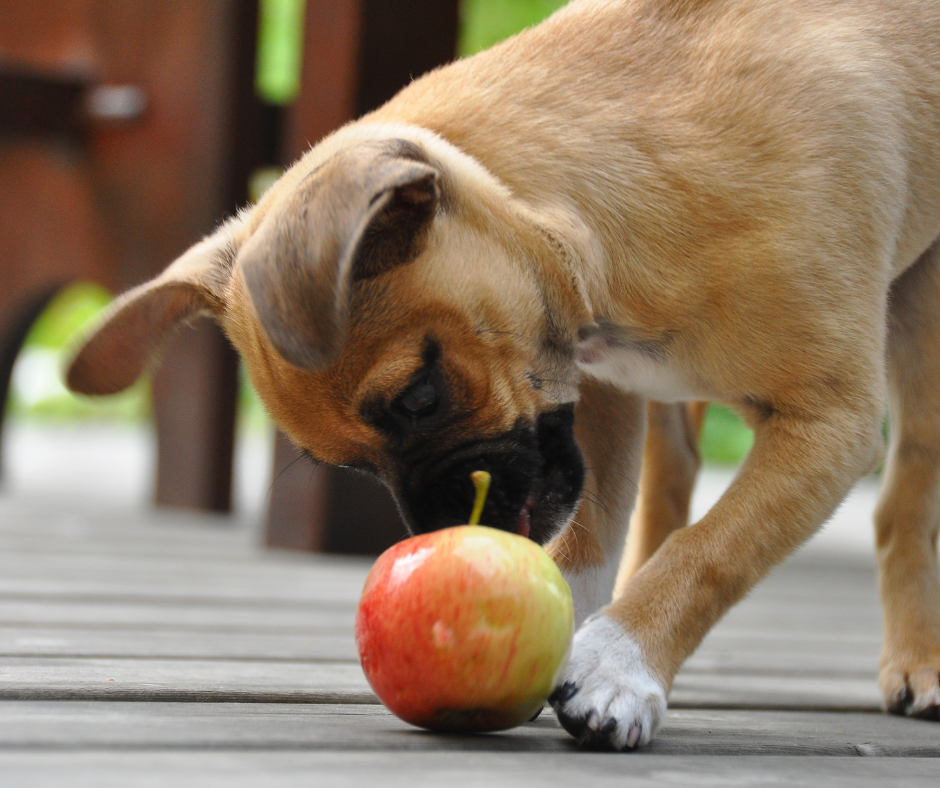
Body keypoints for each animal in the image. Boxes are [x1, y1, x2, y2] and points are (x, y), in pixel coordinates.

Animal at [66, 0, 940, 748]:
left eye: (420, 398)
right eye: (346, 464)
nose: (448, 527)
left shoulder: (828, 426)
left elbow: (714, 548)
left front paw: (620, 660)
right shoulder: (602, 399)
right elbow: (593, 534)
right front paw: (591, 638)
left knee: (902, 501)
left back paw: (918, 664)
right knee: (672, 483)